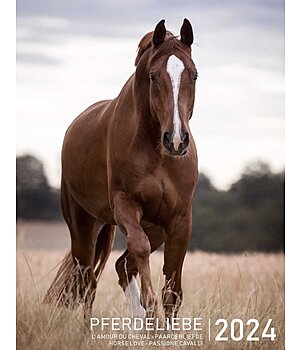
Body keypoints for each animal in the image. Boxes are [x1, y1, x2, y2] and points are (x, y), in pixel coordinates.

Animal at [44, 19, 199, 320]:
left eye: (195, 75)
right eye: (153, 76)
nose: (176, 140)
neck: (157, 153)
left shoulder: (179, 220)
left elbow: (172, 293)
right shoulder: (125, 205)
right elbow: (141, 251)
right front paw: (150, 308)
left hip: (155, 227)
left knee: (121, 267)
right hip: (83, 226)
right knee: (88, 281)